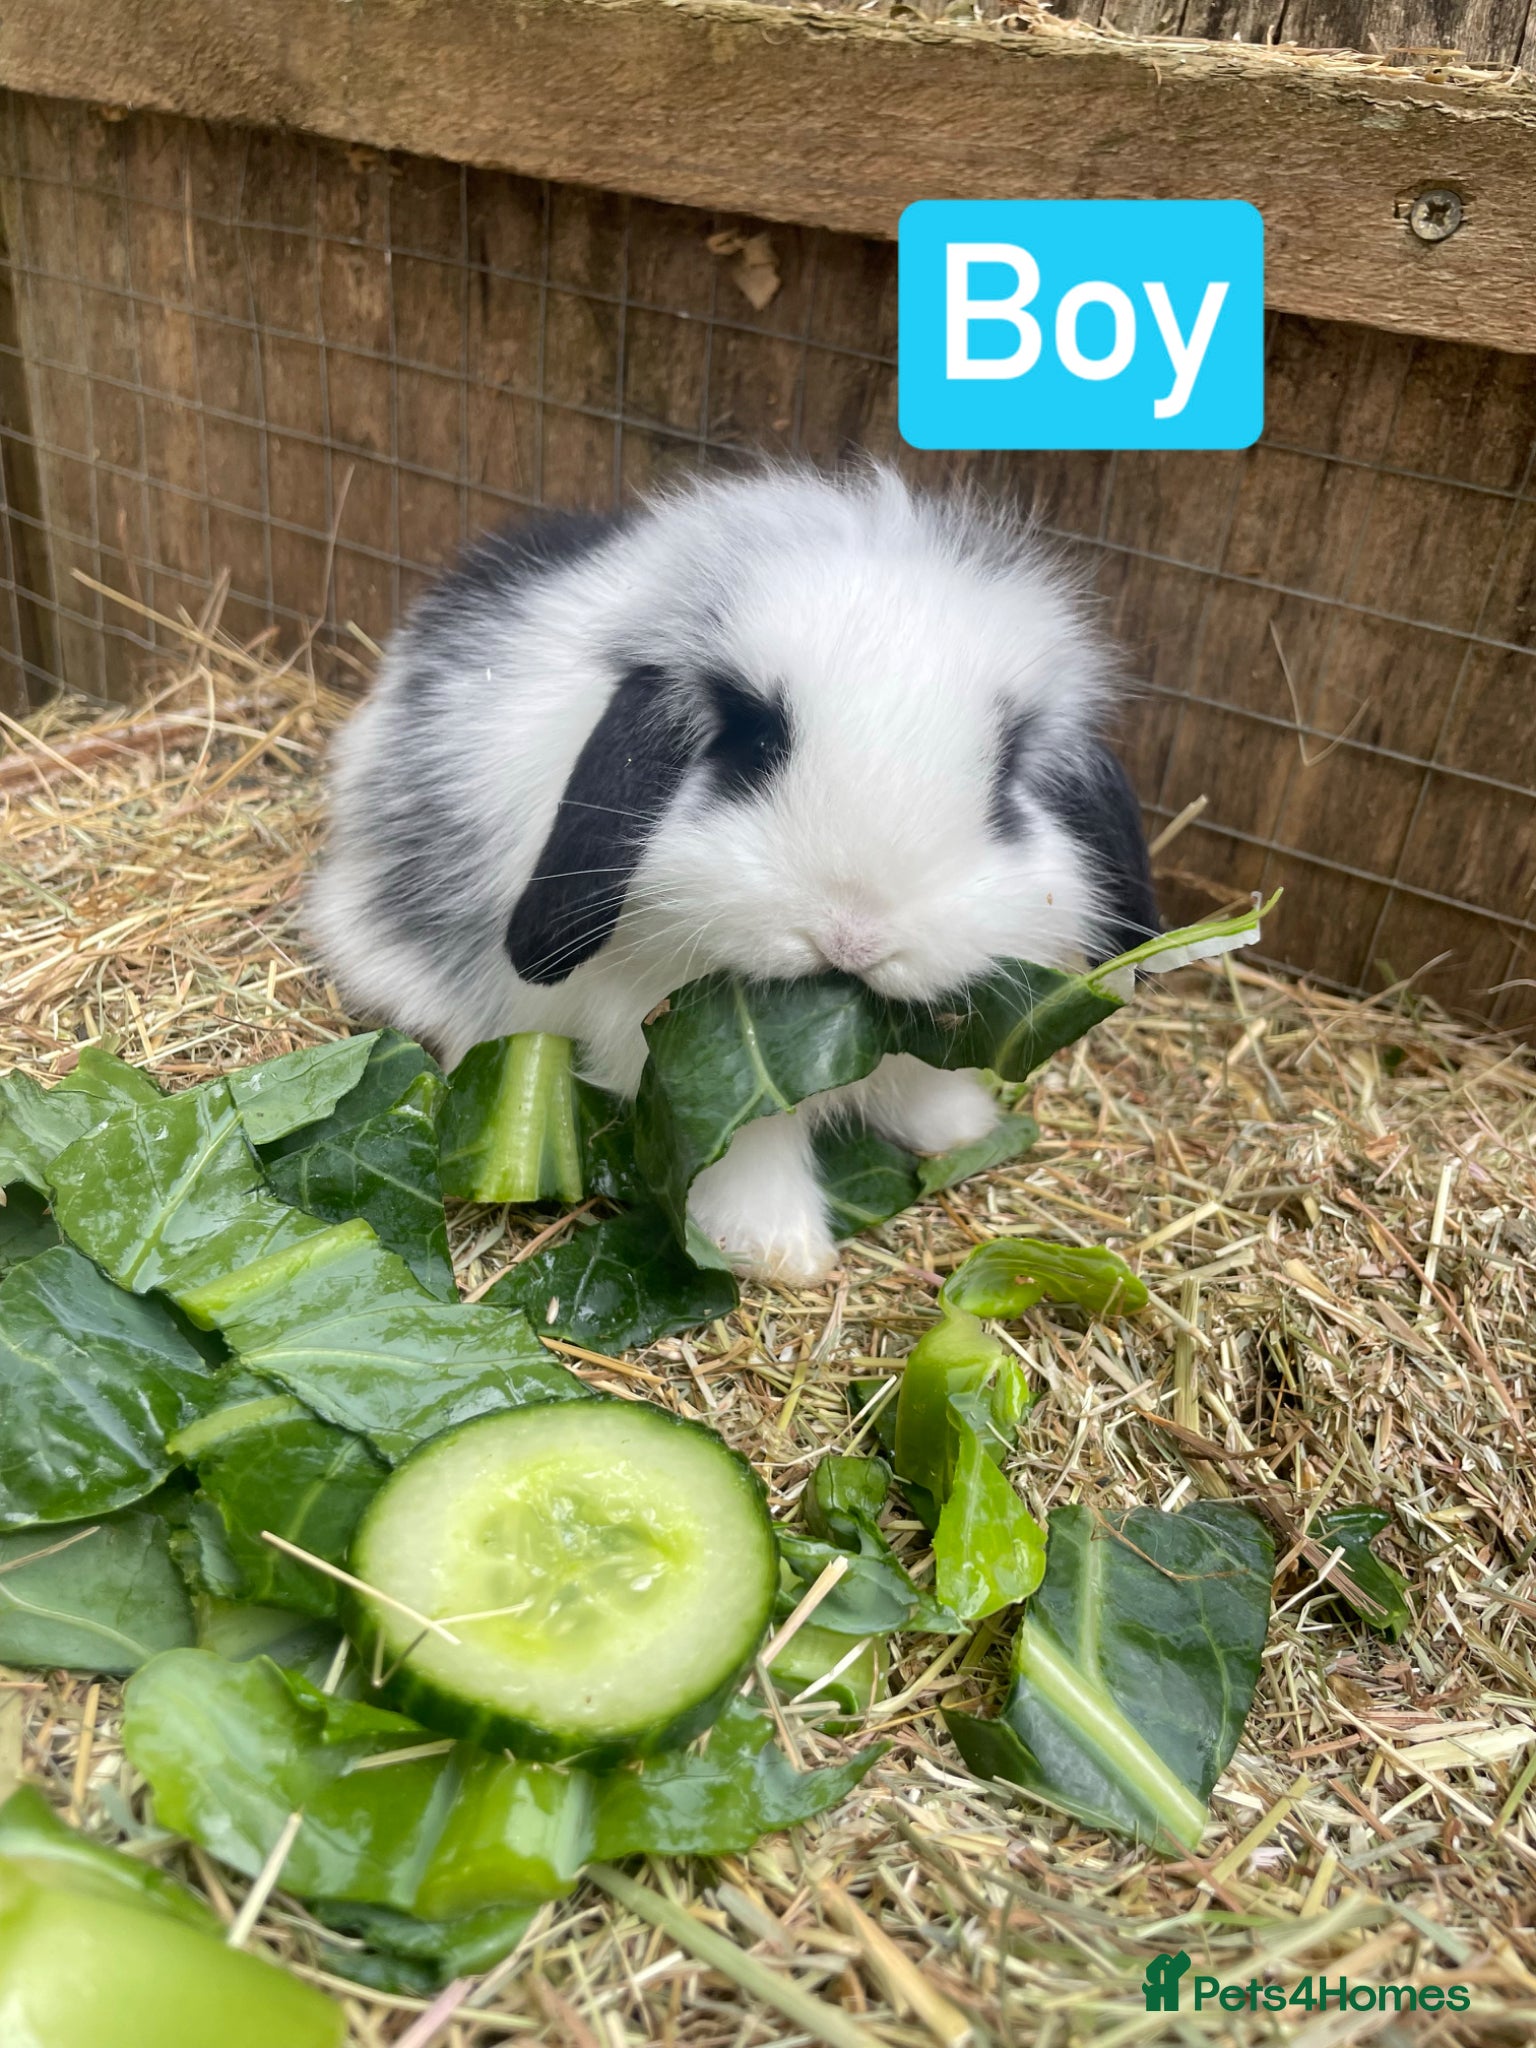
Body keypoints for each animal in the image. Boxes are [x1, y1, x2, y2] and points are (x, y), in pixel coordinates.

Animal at [309, 464, 1158, 1284]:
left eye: (1004, 778)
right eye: (754, 743)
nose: (853, 935)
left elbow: (920, 1080)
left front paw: (958, 1128)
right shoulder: (668, 1057)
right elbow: (749, 1145)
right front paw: (782, 1256)